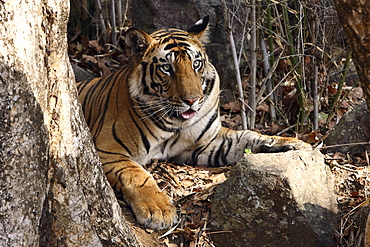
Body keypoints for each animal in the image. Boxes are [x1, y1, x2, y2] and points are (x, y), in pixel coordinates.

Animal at [76, 16, 310, 231]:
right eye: (167, 68)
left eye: (196, 64)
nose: (192, 100)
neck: (175, 123)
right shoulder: (107, 149)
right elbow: (137, 175)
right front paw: (159, 210)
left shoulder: (205, 143)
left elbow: (247, 136)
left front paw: (292, 143)